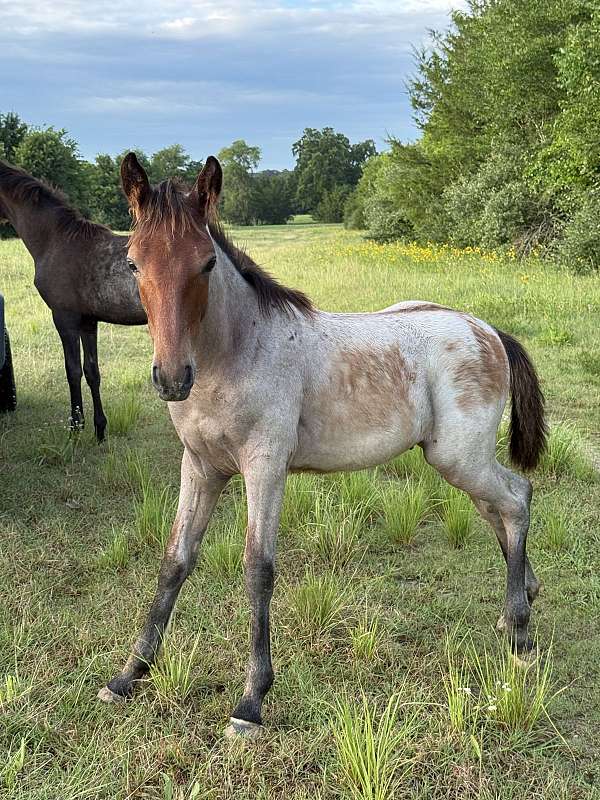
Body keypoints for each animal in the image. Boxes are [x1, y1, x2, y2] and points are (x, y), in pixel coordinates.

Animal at [0, 160, 146, 440]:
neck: (55, 240)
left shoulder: (64, 318)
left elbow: (73, 371)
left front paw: (75, 429)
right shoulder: (88, 322)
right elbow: (92, 372)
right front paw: (99, 429)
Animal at [97, 153, 547, 738]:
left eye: (207, 264)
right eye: (133, 263)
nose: (172, 379)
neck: (237, 352)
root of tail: (487, 329)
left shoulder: (264, 465)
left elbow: (258, 568)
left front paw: (251, 701)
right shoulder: (199, 466)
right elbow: (175, 559)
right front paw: (129, 675)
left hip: (459, 457)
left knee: (515, 500)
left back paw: (520, 634)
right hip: (462, 461)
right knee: (500, 508)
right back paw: (519, 604)